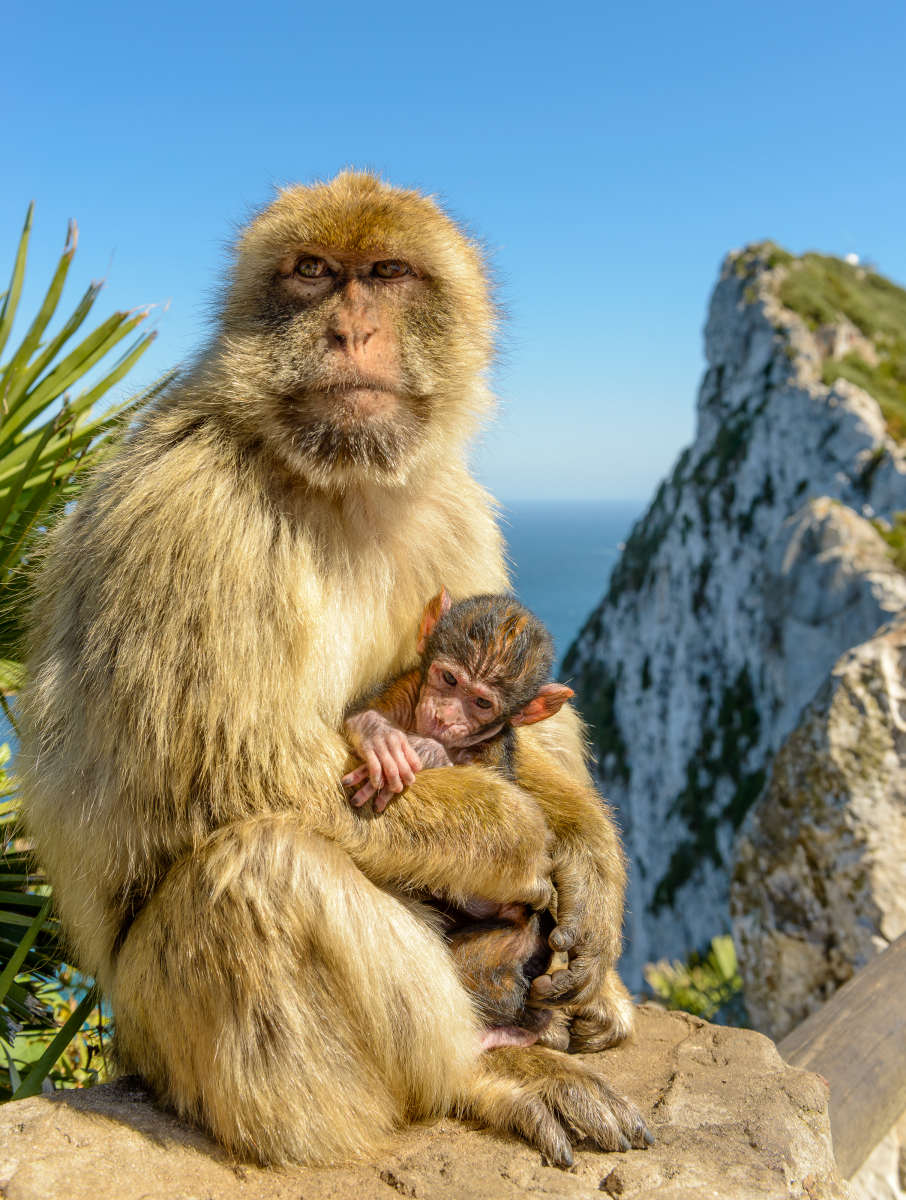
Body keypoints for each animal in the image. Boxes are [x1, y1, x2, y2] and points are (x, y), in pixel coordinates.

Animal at [19, 170, 647, 1172]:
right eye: (313, 272)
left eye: (386, 274)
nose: (350, 331)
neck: (336, 482)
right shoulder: (187, 514)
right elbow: (235, 770)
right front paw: (515, 836)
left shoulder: (455, 505)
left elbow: (533, 731)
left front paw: (589, 861)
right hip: (165, 1033)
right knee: (262, 870)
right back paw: (479, 1073)